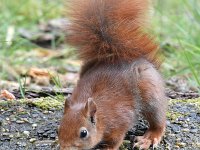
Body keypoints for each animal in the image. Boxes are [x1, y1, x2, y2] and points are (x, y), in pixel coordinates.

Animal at [58, 0, 167, 149]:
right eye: (58, 129)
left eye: (83, 133)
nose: (64, 147)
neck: (101, 116)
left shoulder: (120, 121)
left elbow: (116, 140)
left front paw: (108, 147)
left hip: (150, 93)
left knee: (158, 121)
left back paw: (149, 138)